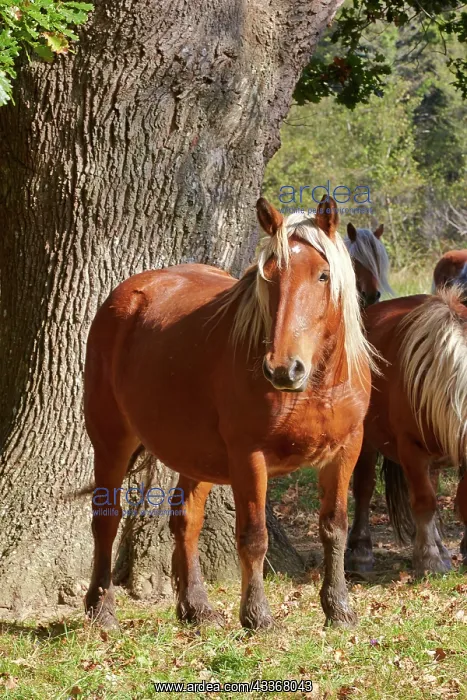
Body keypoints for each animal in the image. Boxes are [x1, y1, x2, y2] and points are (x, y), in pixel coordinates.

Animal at [83, 196, 372, 630]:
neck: (316, 388)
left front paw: (338, 609)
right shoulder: (248, 456)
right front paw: (257, 616)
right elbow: (253, 536)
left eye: (323, 276)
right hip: (111, 442)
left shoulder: (345, 451)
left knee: (185, 519)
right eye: (268, 277)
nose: (283, 369)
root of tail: (128, 295)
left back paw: (196, 607)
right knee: (107, 518)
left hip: (196, 454)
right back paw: (101, 610)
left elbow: (334, 528)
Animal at [346, 289, 467, 576]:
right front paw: (429, 560)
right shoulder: (412, 449)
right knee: (364, 488)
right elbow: (424, 502)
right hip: (367, 441)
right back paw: (361, 552)